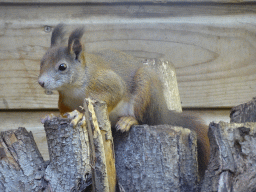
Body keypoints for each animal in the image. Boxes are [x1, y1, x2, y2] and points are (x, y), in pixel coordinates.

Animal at [38, 23, 210, 177]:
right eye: (41, 62)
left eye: (62, 67)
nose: (41, 82)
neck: (73, 88)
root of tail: (163, 113)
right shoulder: (64, 102)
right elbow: (64, 113)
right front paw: (51, 116)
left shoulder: (108, 83)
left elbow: (115, 94)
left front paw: (81, 115)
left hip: (144, 93)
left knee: (145, 120)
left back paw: (129, 120)